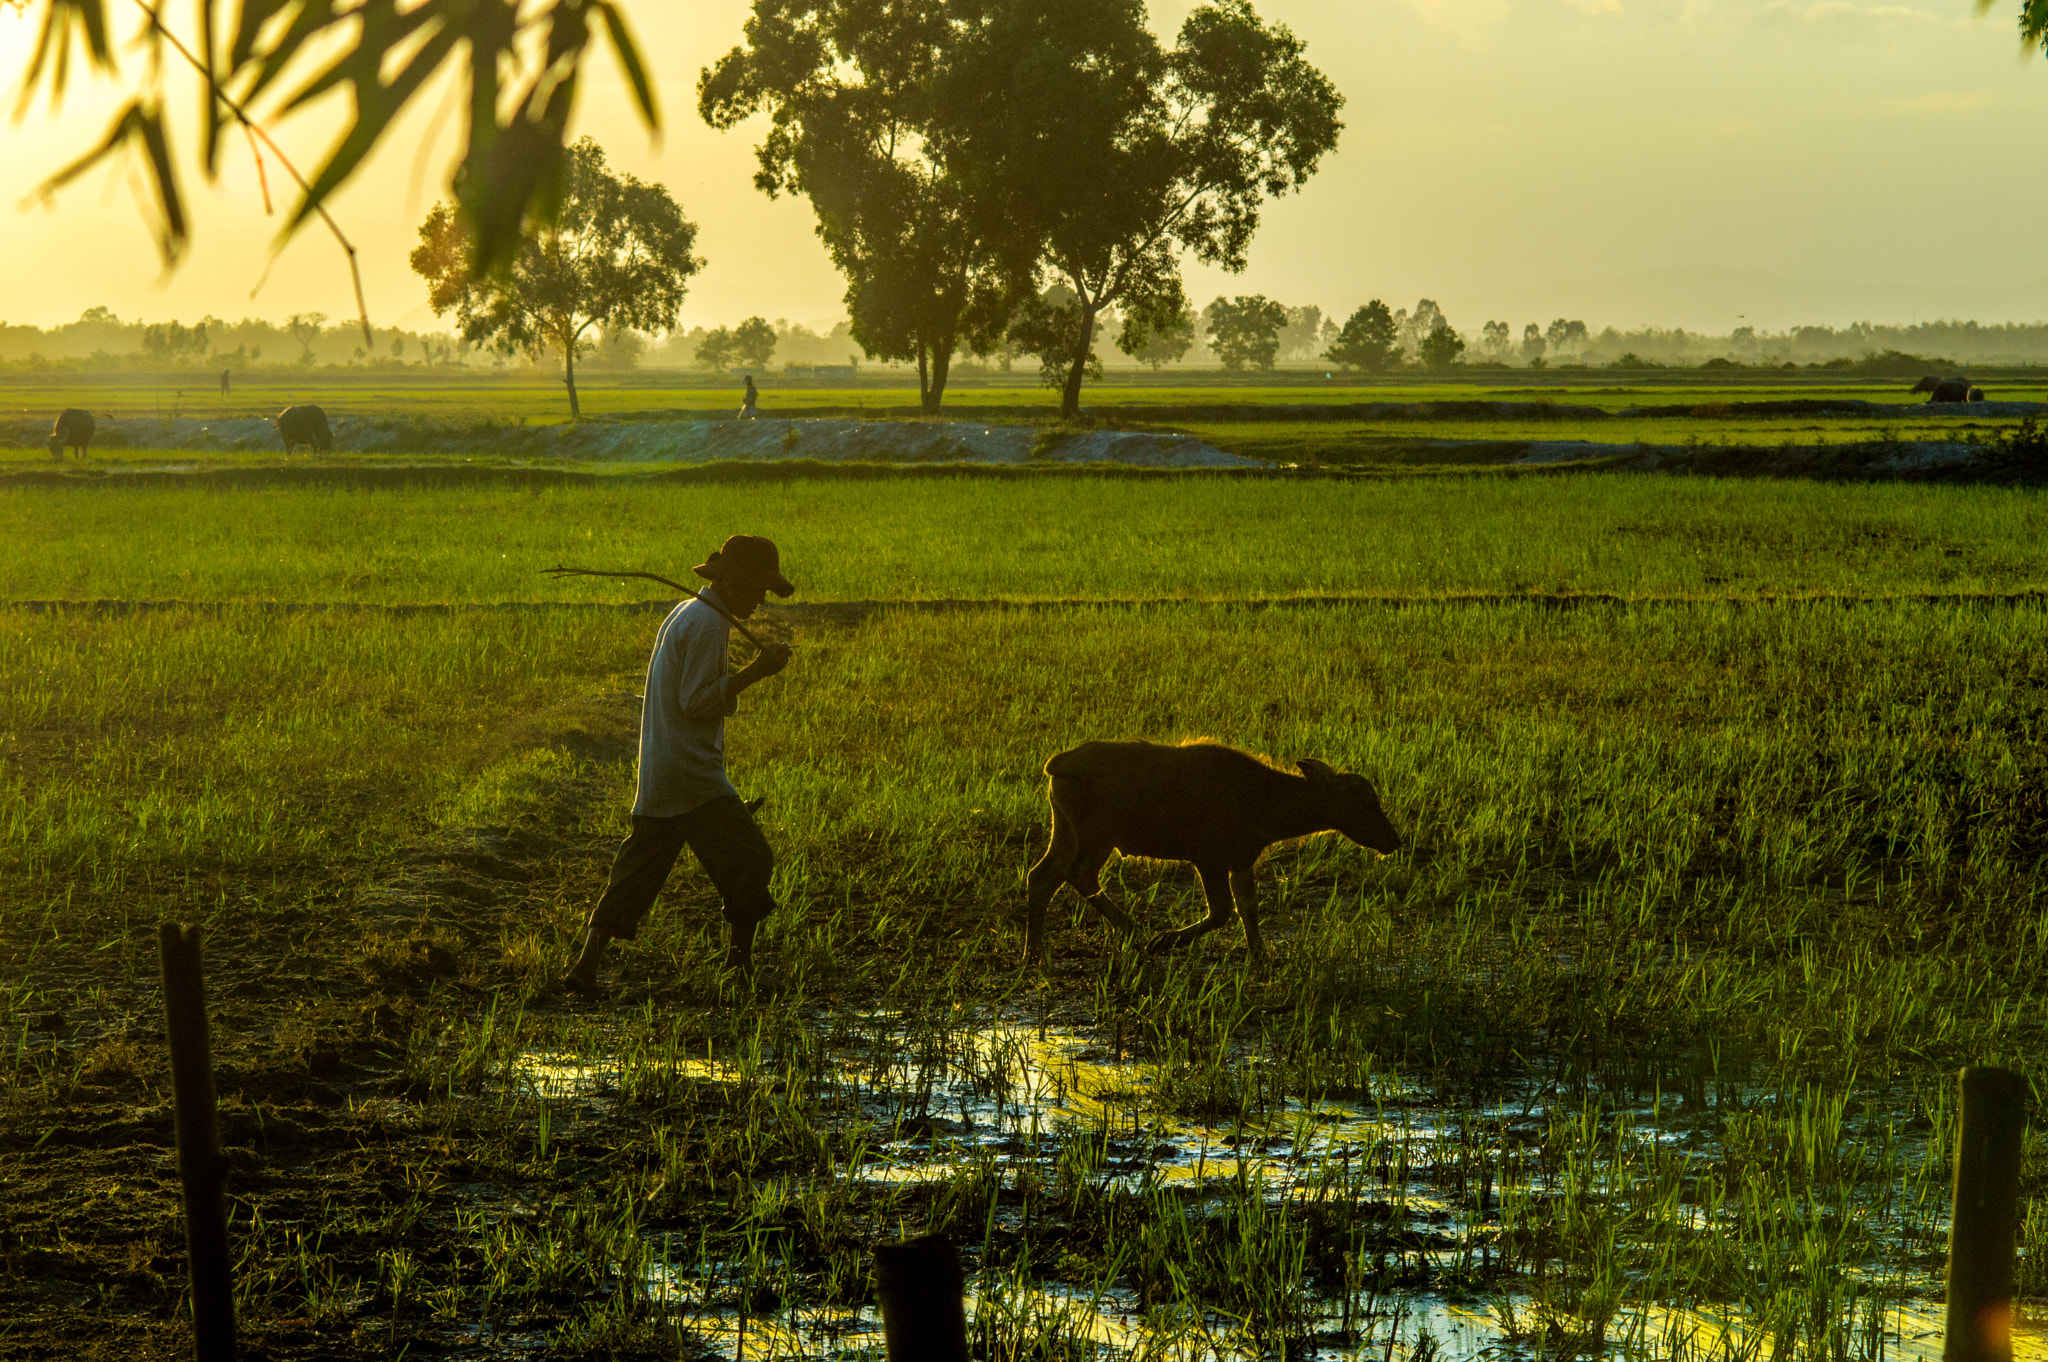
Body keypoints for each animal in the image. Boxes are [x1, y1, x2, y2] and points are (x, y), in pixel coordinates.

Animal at [1024, 745, 1409, 966]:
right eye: (1363, 800)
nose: (1393, 840)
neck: (1266, 799)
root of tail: (1058, 765)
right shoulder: (1208, 859)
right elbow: (1222, 911)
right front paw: (1164, 940)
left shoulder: (1241, 861)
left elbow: (1248, 910)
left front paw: (1262, 956)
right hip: (1097, 836)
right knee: (1078, 874)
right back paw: (1136, 933)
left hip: (1067, 832)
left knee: (1042, 877)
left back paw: (1034, 954)